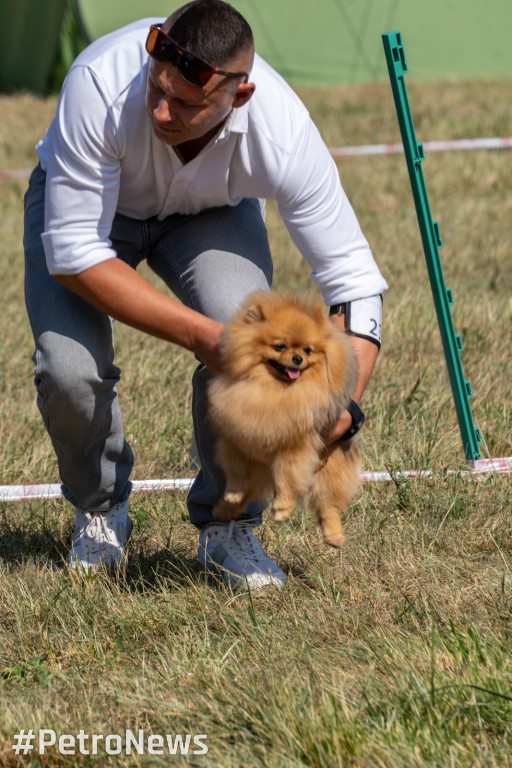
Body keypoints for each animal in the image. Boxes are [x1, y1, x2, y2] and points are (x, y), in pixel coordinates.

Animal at [207, 288, 360, 544]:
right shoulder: (236, 439)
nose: (297, 358)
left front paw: (281, 509)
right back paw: (224, 510)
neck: (275, 390)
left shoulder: (295, 448)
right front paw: (232, 494)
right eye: (280, 346)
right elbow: (237, 472)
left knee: (328, 505)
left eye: (307, 349)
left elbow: (287, 479)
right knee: (248, 494)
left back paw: (334, 536)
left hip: (329, 469)